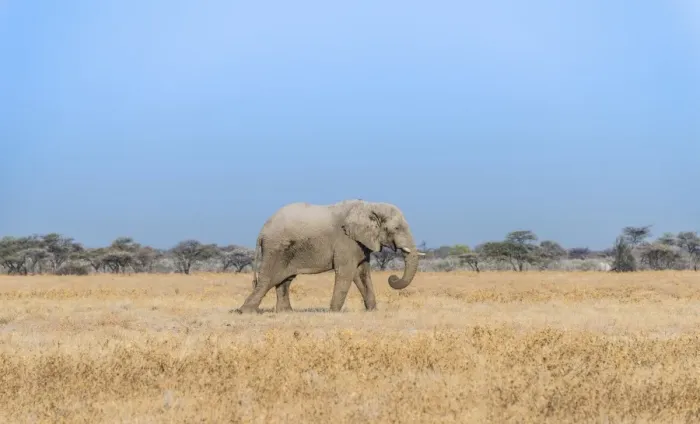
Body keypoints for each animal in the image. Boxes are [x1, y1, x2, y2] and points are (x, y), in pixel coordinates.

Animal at [236, 199, 423, 314]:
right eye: (396, 228)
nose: (392, 277)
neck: (370, 206)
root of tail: (262, 231)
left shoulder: (360, 243)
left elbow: (361, 274)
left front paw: (372, 311)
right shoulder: (346, 241)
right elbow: (346, 273)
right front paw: (334, 312)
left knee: (284, 280)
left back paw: (285, 312)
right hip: (276, 248)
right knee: (268, 279)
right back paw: (245, 311)